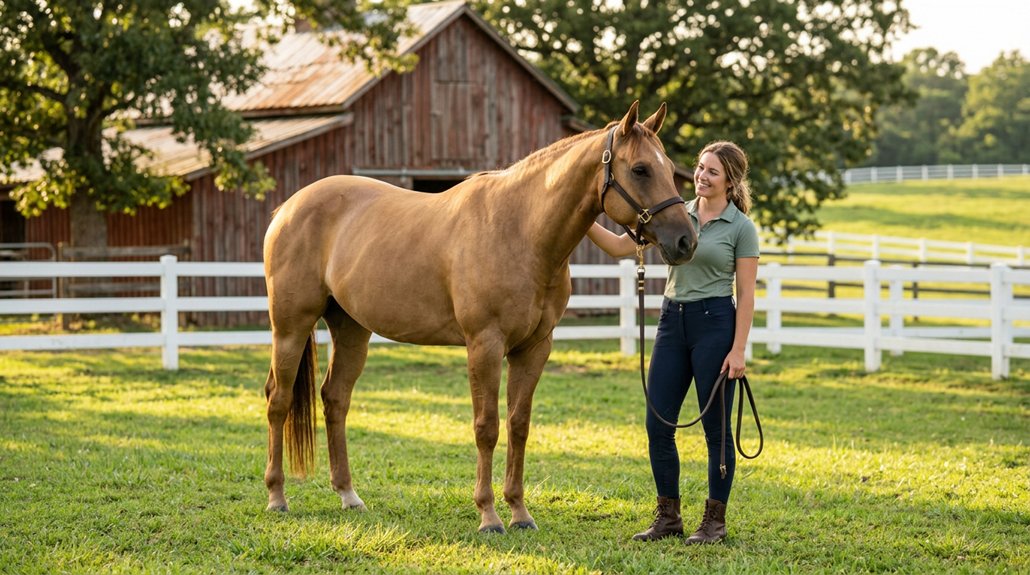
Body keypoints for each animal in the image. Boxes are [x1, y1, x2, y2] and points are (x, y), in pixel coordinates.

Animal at [262, 101, 697, 533]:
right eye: (640, 169)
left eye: (667, 165)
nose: (685, 241)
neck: (520, 231)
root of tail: (287, 208)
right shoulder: (484, 345)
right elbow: (486, 427)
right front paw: (489, 515)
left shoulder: (534, 348)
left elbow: (519, 425)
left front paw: (520, 512)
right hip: (290, 326)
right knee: (278, 400)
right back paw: (277, 497)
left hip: (351, 329)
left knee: (335, 399)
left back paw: (349, 496)